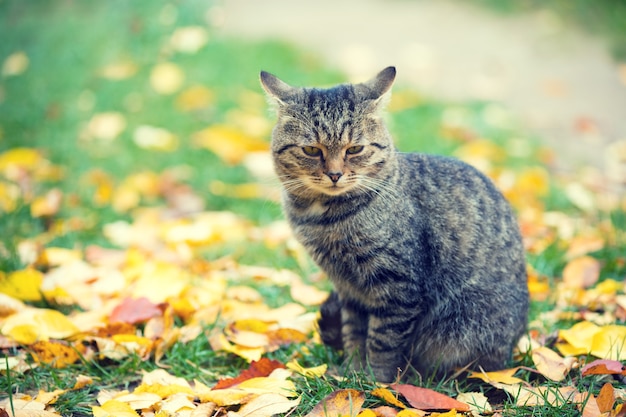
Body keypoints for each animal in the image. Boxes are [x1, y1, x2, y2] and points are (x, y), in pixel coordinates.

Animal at [258, 66, 528, 382]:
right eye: (312, 150)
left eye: (355, 149)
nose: (335, 174)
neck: (323, 219)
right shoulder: (349, 291)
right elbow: (354, 333)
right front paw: (352, 372)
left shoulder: (397, 286)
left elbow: (383, 342)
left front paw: (376, 381)